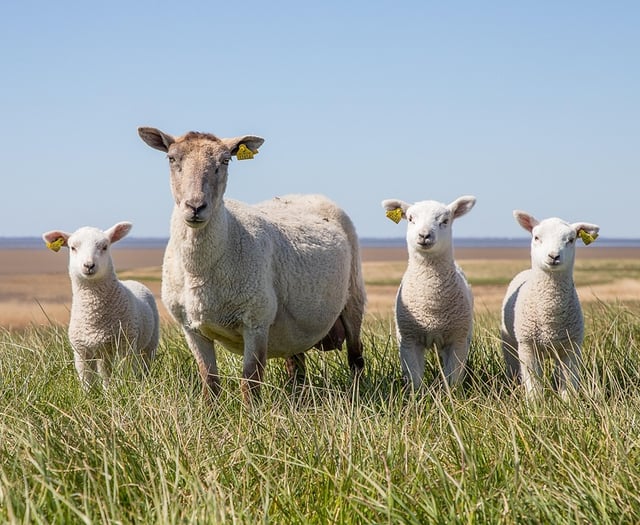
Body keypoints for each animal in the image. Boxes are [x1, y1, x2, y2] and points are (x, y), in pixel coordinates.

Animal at [42, 222, 160, 389]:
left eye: (104, 247)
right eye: (72, 247)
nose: (89, 265)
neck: (94, 316)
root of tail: (132, 280)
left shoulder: (125, 345)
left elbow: (125, 373)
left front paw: (125, 389)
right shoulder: (81, 351)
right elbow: (86, 381)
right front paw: (89, 395)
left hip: (149, 343)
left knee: (144, 364)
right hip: (104, 352)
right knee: (106, 372)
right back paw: (107, 389)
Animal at [137, 127, 366, 401]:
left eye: (226, 161)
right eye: (171, 158)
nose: (195, 206)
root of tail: (305, 195)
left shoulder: (256, 321)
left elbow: (251, 381)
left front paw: (251, 412)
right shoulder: (191, 328)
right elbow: (209, 381)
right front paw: (210, 409)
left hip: (353, 297)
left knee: (356, 357)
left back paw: (356, 395)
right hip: (293, 329)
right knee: (296, 365)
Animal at [381, 196, 476, 390]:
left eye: (445, 221)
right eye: (410, 219)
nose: (424, 235)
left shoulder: (457, 340)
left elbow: (453, 379)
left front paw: (452, 395)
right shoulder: (408, 340)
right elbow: (414, 379)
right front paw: (417, 396)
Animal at [500, 210, 600, 398]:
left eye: (571, 239)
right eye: (536, 237)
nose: (554, 256)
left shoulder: (571, 347)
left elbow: (568, 383)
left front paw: (568, 403)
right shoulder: (528, 347)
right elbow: (533, 385)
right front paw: (535, 404)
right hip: (510, 343)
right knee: (513, 367)